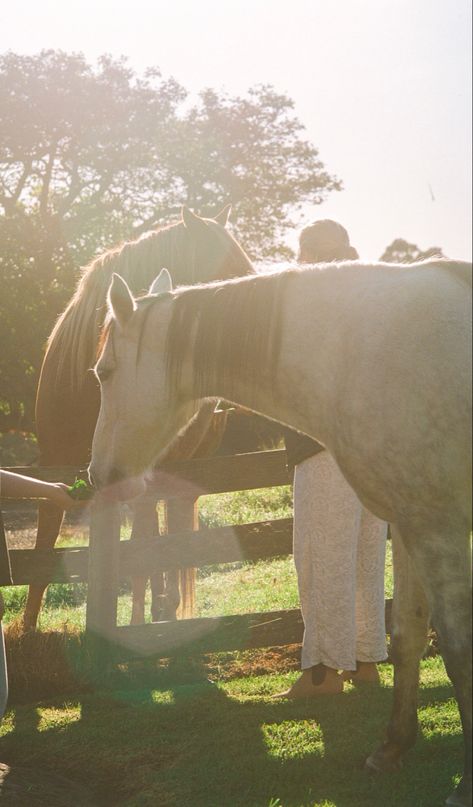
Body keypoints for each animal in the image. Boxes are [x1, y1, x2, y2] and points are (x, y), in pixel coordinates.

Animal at [24, 207, 254, 632]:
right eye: (229, 272)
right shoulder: (55, 464)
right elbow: (44, 543)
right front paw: (27, 627)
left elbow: (144, 548)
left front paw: (145, 616)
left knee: (172, 531)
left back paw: (166, 607)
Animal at [90, 262, 470, 804]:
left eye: (103, 372)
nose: (98, 476)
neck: (365, 351)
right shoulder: (409, 525)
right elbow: (407, 635)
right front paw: (393, 747)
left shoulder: (439, 529)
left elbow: (459, 652)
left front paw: (467, 783)